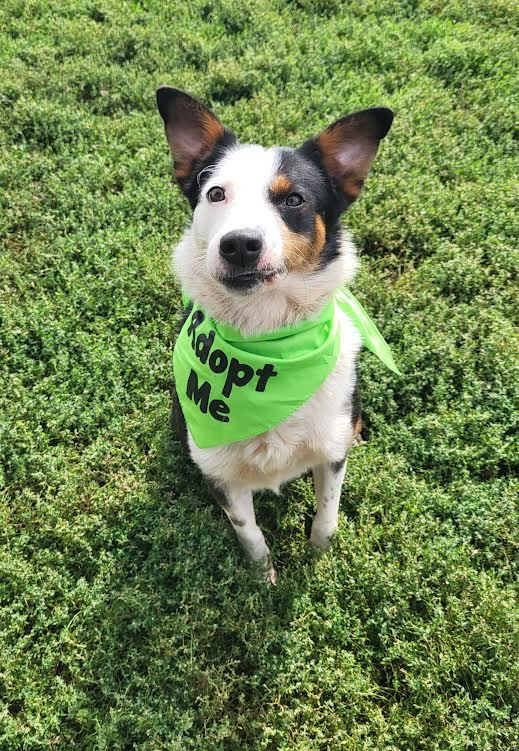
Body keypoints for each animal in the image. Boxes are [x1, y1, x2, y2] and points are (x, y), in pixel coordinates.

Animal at [156, 86, 392, 580]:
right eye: (215, 193)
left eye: (294, 200)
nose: (240, 245)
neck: (267, 339)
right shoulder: (219, 471)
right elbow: (249, 532)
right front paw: (263, 579)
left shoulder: (331, 453)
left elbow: (328, 512)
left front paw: (318, 559)